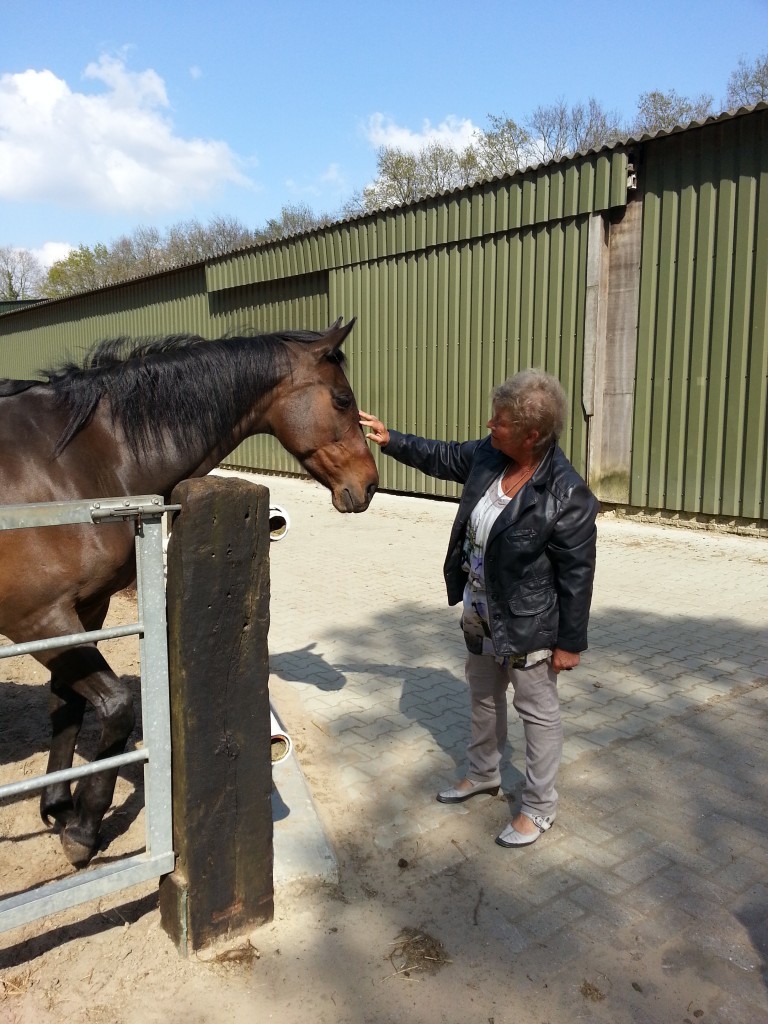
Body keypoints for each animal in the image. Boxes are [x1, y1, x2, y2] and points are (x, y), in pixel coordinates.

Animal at [0, 317, 378, 867]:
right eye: (343, 400)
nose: (369, 485)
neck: (71, 463)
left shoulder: (83, 611)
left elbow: (65, 705)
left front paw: (59, 807)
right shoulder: (37, 619)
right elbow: (117, 706)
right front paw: (84, 831)